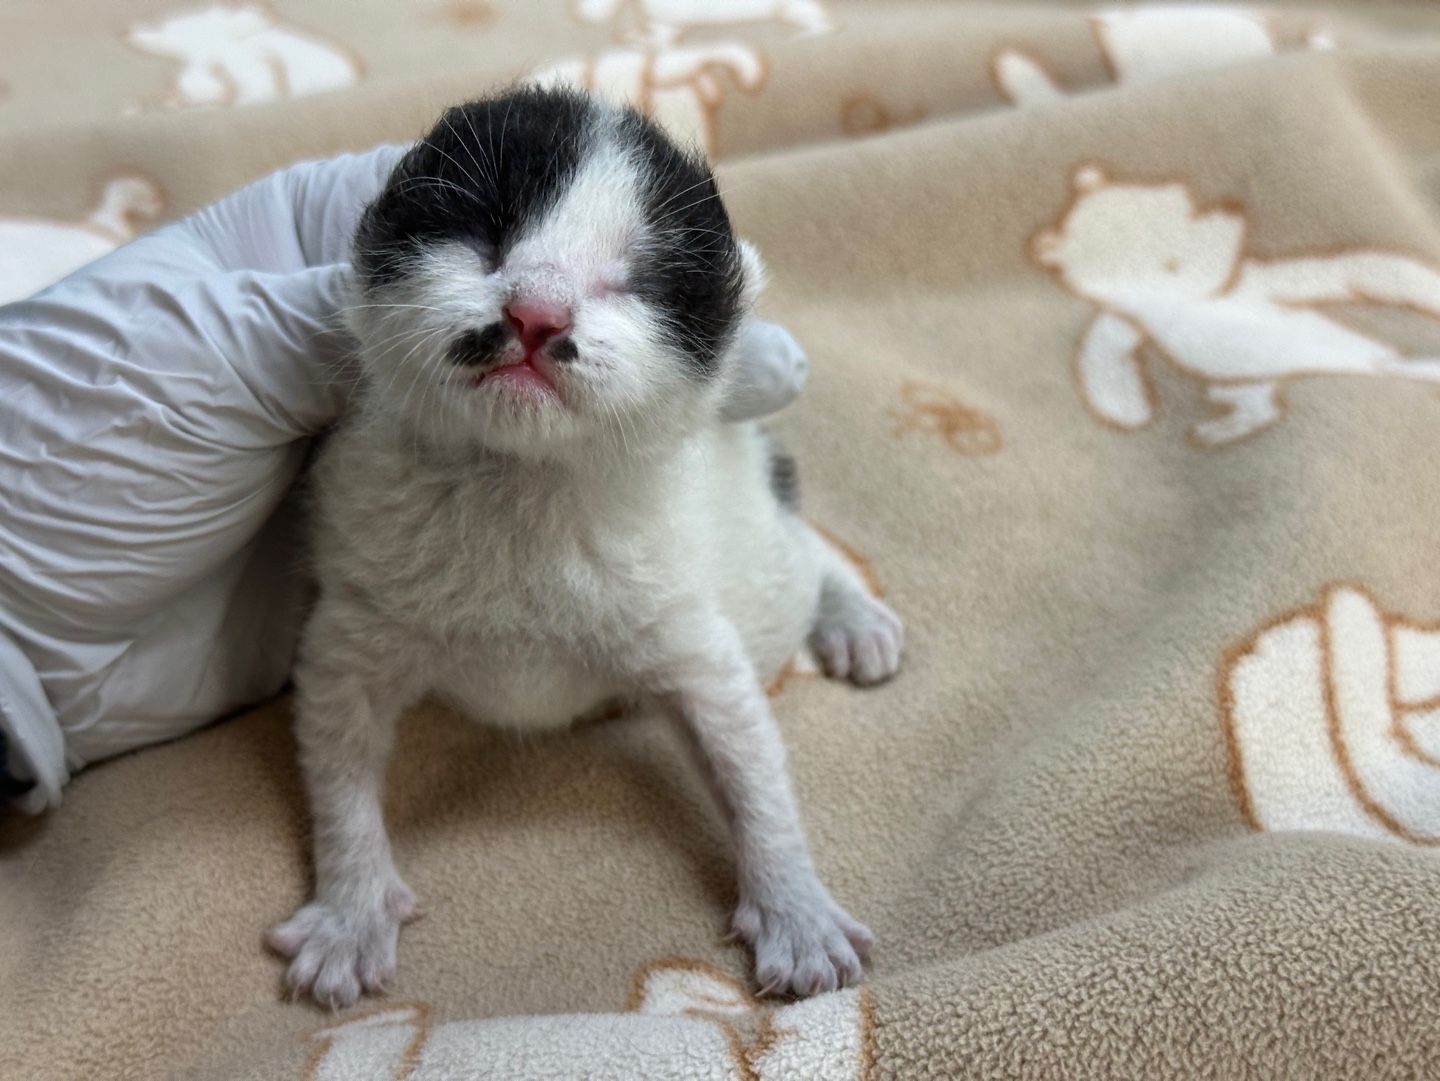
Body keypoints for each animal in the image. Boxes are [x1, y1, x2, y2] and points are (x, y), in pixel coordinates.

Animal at [267, 88, 898, 1013]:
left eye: (633, 283)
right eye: (488, 234)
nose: (536, 312)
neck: (518, 484)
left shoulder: (681, 621)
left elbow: (747, 760)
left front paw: (796, 906)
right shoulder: (356, 616)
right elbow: (340, 759)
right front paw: (350, 910)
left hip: (758, 549)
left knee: (807, 545)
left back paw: (855, 617)